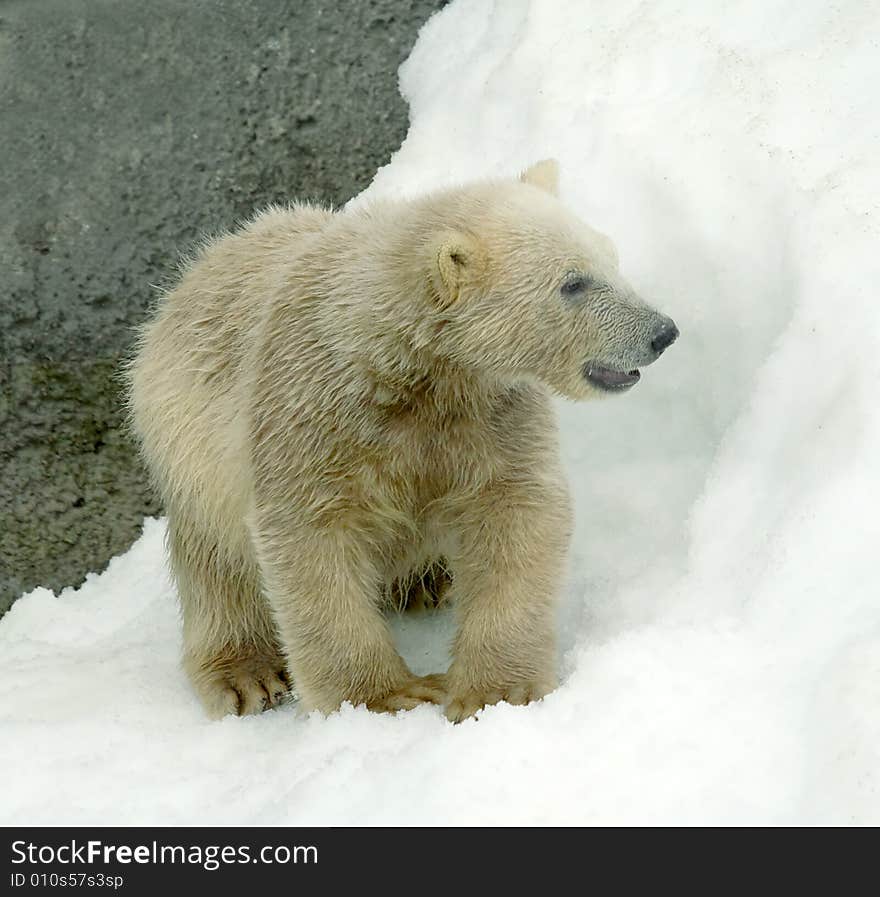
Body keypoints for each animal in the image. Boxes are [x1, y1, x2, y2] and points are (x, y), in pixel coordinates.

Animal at [127, 159, 676, 720]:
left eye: (612, 257)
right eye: (573, 283)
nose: (662, 333)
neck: (405, 365)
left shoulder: (491, 410)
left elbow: (516, 511)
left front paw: (497, 691)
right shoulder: (308, 411)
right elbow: (309, 538)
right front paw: (384, 698)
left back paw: (431, 580)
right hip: (186, 442)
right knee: (218, 562)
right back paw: (247, 674)